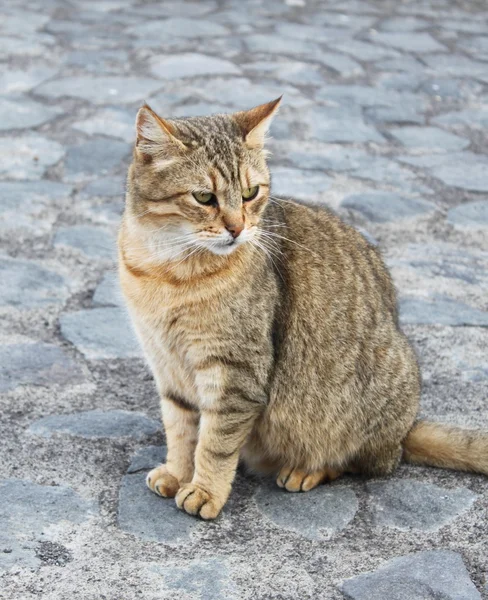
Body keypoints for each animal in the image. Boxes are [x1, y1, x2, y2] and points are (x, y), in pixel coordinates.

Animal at [119, 98, 488, 520]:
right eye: (204, 198)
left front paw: (205, 490)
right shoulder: (167, 367)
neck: (166, 267)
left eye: (250, 192)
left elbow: (215, 443)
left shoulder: (235, 371)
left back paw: (307, 470)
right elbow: (181, 431)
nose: (237, 228)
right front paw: (179, 473)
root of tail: (407, 428)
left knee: (363, 461)